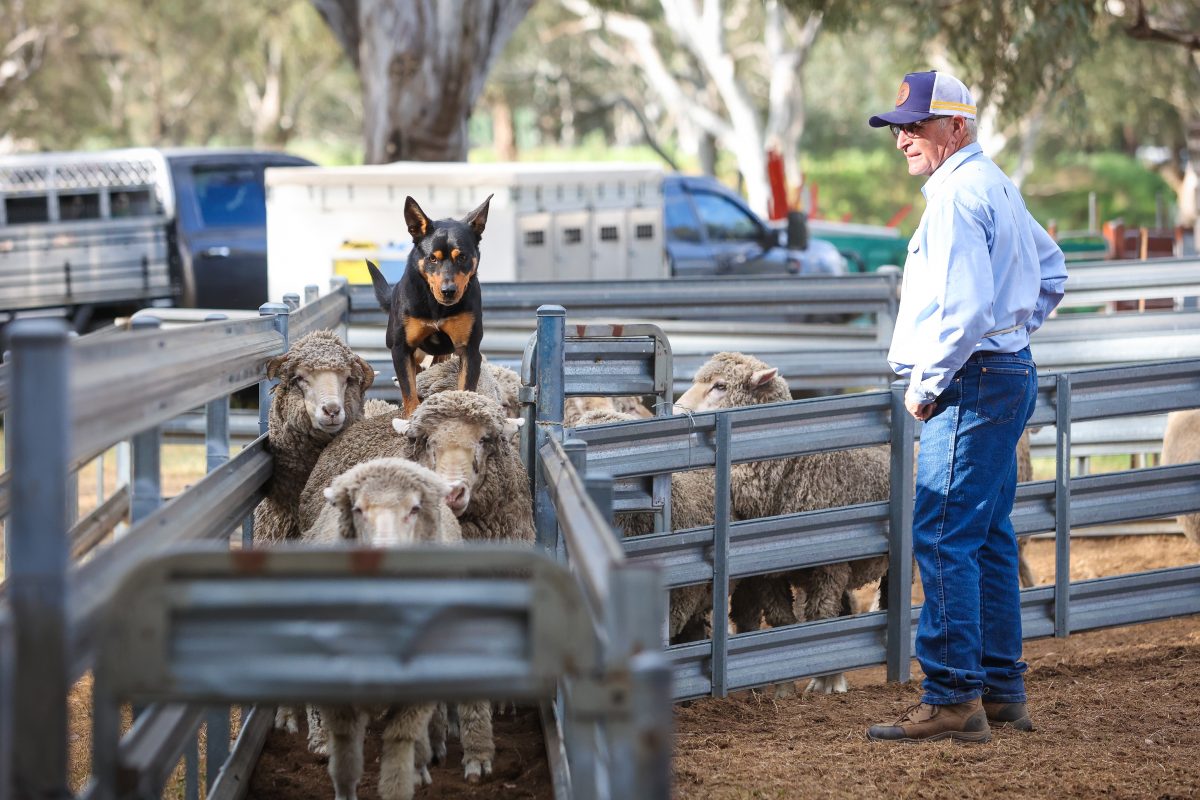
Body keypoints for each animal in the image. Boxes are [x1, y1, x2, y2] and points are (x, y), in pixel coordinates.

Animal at [369, 196, 492, 417]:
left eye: (462, 257)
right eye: (432, 258)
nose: (448, 290)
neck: (437, 306)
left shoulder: (469, 350)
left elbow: (466, 386)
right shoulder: (401, 348)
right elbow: (408, 388)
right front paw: (411, 415)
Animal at [676, 350, 892, 695]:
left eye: (721, 386)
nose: (675, 410)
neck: (791, 466)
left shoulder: (830, 565)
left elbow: (820, 619)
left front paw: (825, 685)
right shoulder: (767, 572)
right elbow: (782, 623)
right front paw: (784, 688)